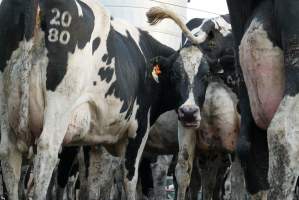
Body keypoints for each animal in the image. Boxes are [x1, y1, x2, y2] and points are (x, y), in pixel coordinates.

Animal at [0, 0, 206, 199]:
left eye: (204, 75)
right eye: (175, 75)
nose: (189, 113)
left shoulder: (97, 139)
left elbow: (94, 182)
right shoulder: (138, 128)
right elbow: (129, 179)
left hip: (7, 111)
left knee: (8, 157)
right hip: (58, 110)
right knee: (47, 153)